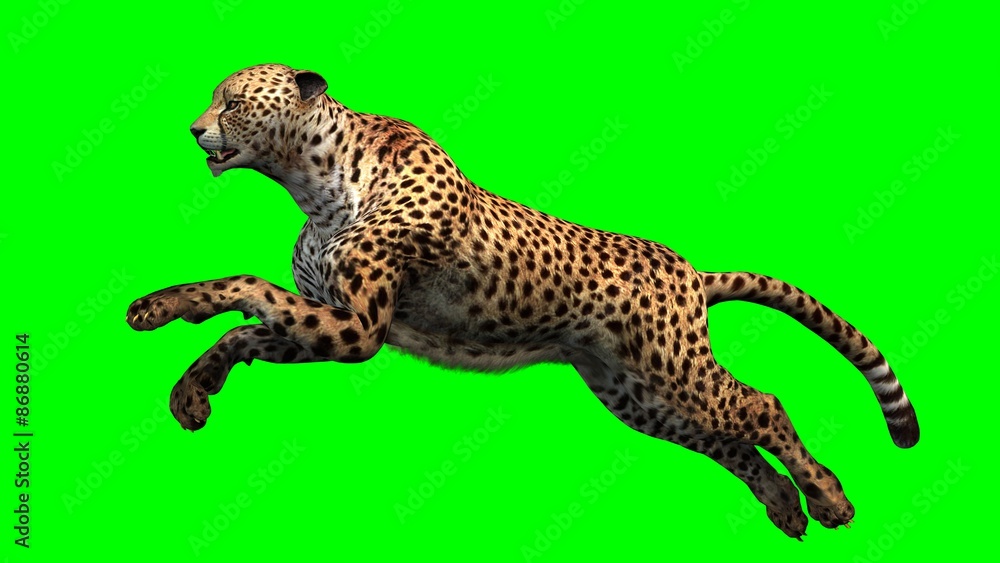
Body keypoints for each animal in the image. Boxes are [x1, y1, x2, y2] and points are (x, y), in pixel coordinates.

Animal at [126, 63, 919, 539]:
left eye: (231, 100)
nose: (194, 130)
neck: (312, 180)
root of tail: (689, 268)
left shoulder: (358, 329)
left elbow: (244, 290)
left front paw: (161, 306)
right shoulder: (331, 321)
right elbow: (250, 330)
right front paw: (192, 389)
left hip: (675, 371)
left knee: (761, 407)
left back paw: (829, 497)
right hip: (636, 392)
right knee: (728, 437)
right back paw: (785, 506)